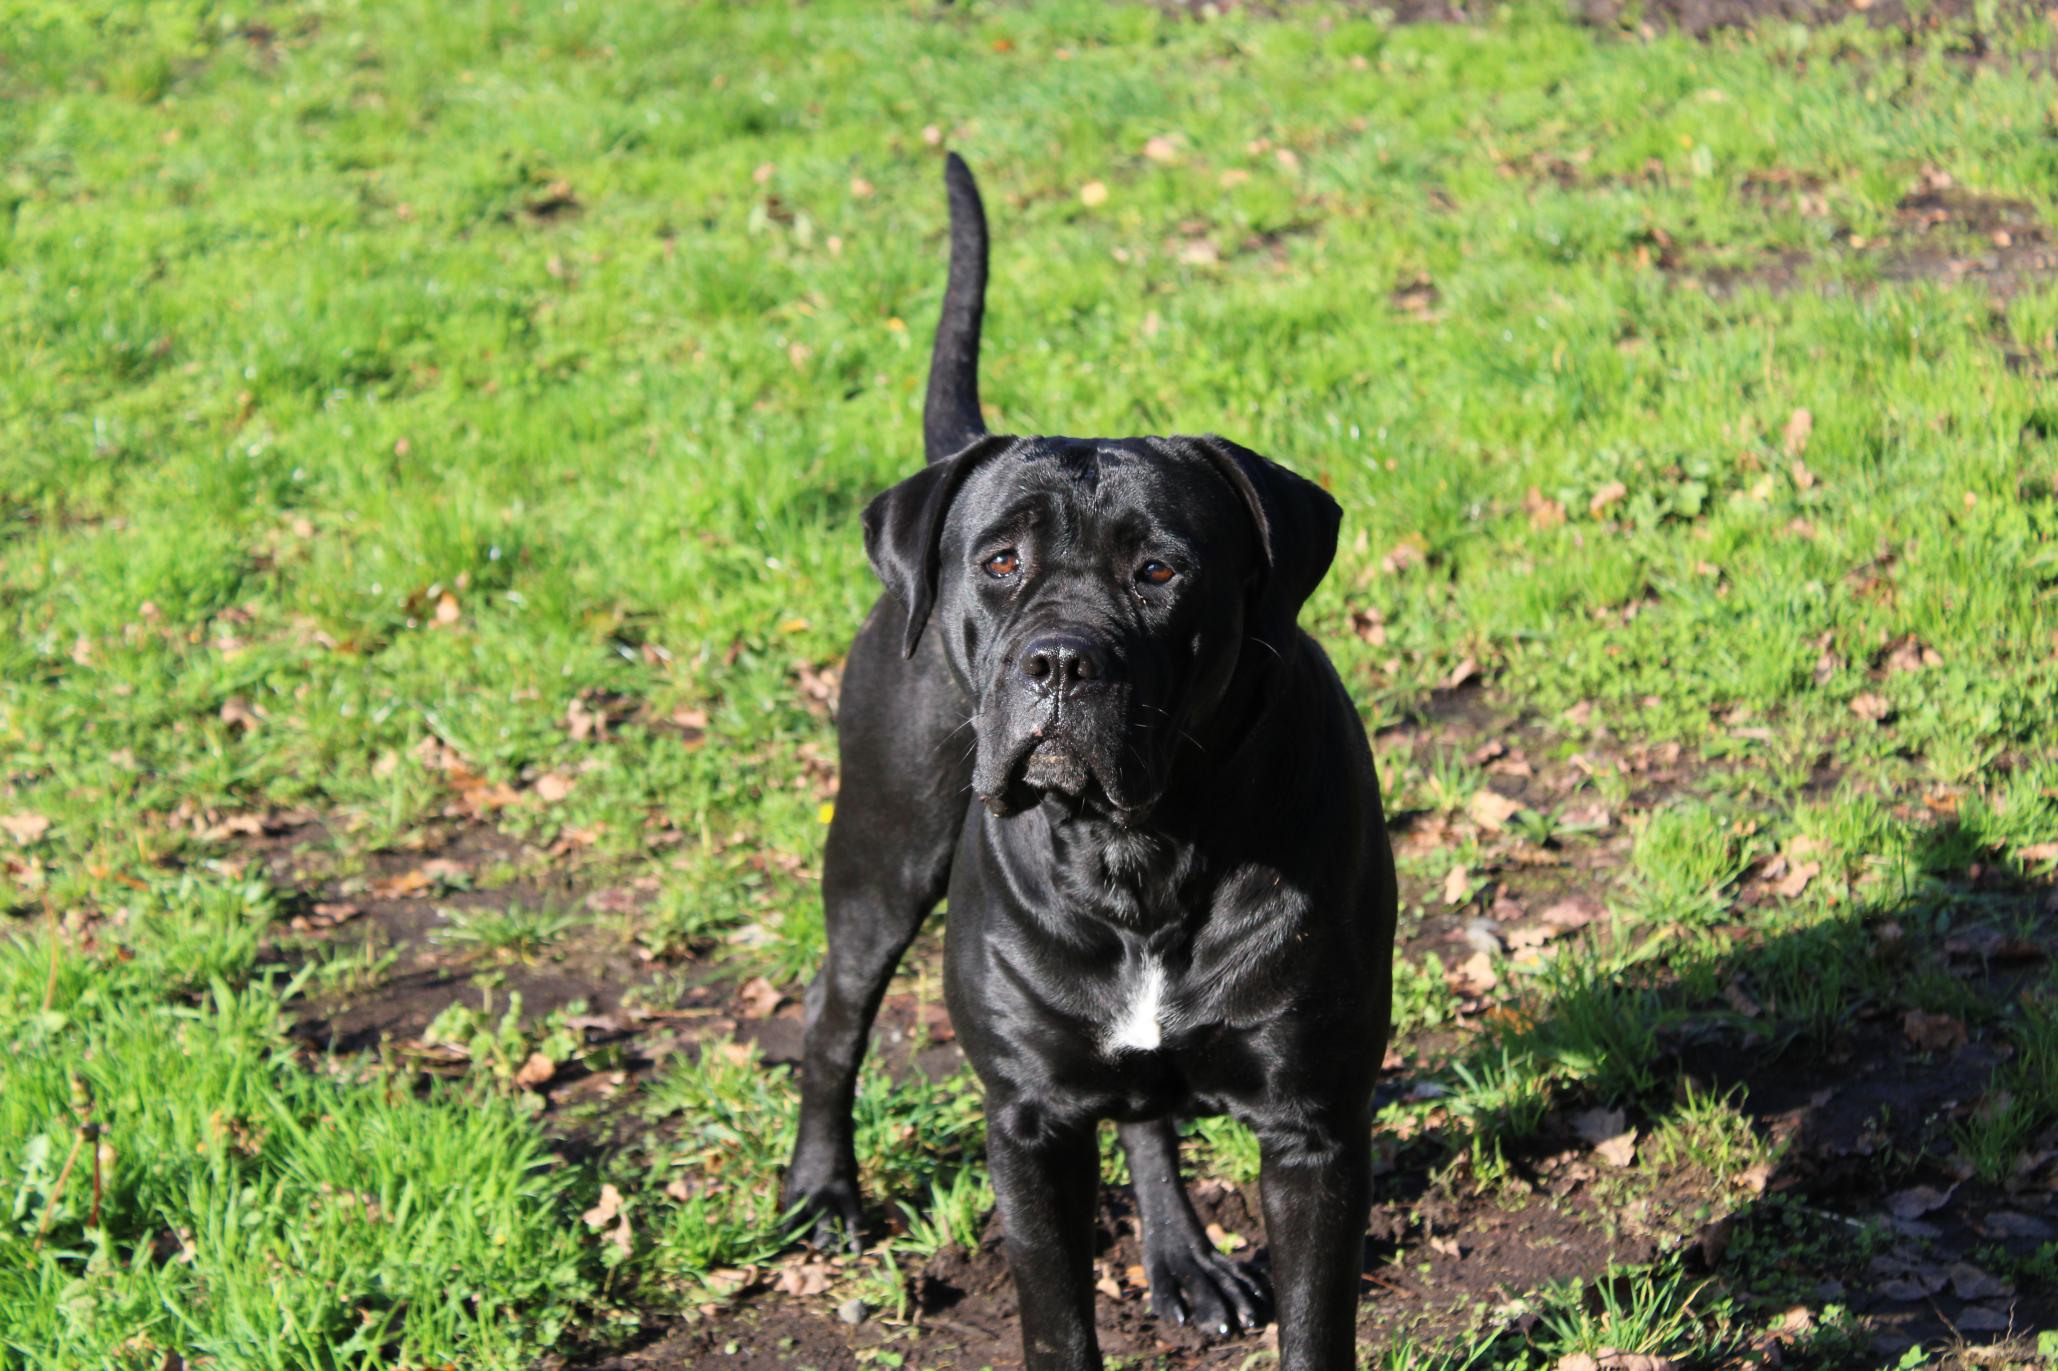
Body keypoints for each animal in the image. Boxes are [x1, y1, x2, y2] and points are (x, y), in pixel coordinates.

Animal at [786, 154, 1399, 1358]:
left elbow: (1318, 1327)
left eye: (1161, 571)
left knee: (1147, 1114)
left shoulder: (1314, 1128)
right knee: (836, 1020)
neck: (1140, 849)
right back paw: (821, 1192)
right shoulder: (1030, 1121)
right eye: (1001, 561)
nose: (1063, 660)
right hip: (882, 854)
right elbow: (1058, 1323)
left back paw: (1184, 1262)